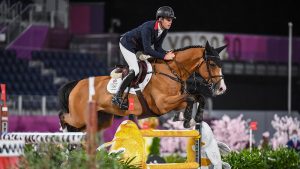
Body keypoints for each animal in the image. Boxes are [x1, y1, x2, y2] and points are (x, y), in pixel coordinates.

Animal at [58, 41, 227, 132]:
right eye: (212, 64)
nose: (222, 89)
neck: (172, 71)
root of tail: (76, 84)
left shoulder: (175, 101)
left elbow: (198, 97)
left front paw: (194, 118)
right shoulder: (163, 104)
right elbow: (191, 98)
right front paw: (187, 120)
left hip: (100, 120)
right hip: (79, 117)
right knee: (64, 116)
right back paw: (63, 130)